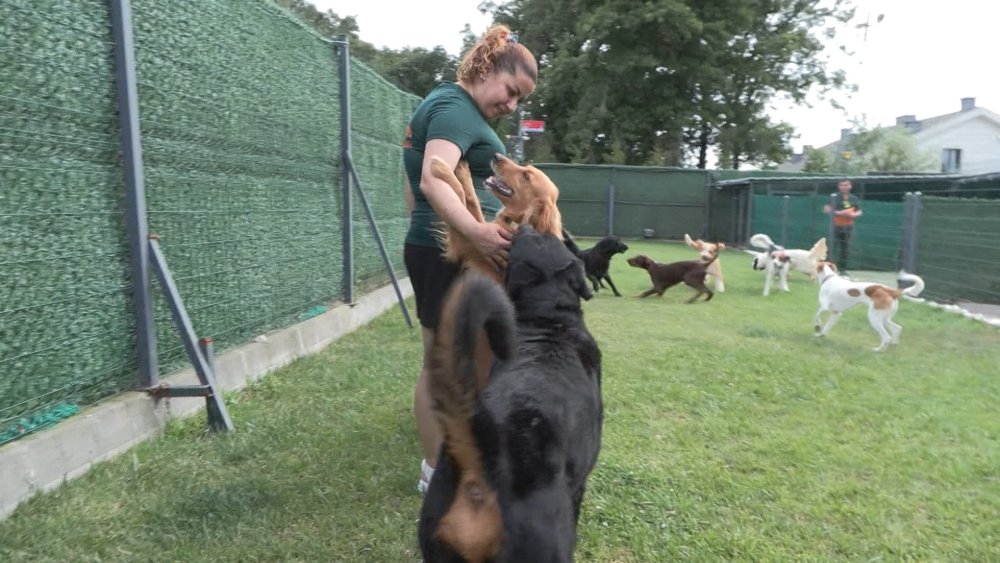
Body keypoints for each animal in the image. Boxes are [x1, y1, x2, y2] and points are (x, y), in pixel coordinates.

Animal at [432, 154, 564, 284]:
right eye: (526, 168)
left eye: (526, 176)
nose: (496, 156)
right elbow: (472, 200)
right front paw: (462, 169)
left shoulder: (465, 243)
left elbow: (462, 194)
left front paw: (440, 166)